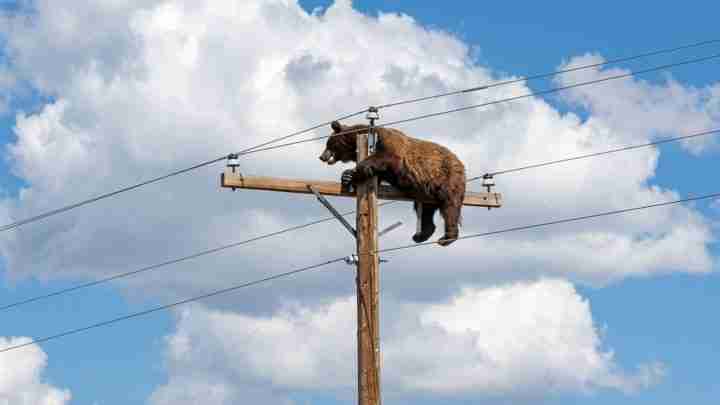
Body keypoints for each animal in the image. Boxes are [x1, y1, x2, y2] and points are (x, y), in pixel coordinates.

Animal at [318, 120, 466, 246]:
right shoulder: (383, 170)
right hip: (426, 190)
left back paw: (447, 237)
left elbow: (386, 156)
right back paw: (421, 235)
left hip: (447, 178)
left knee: (450, 206)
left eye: (328, 144)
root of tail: (460, 162)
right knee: (426, 211)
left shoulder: (387, 144)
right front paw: (347, 176)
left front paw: (355, 171)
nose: (321, 156)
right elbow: (374, 175)